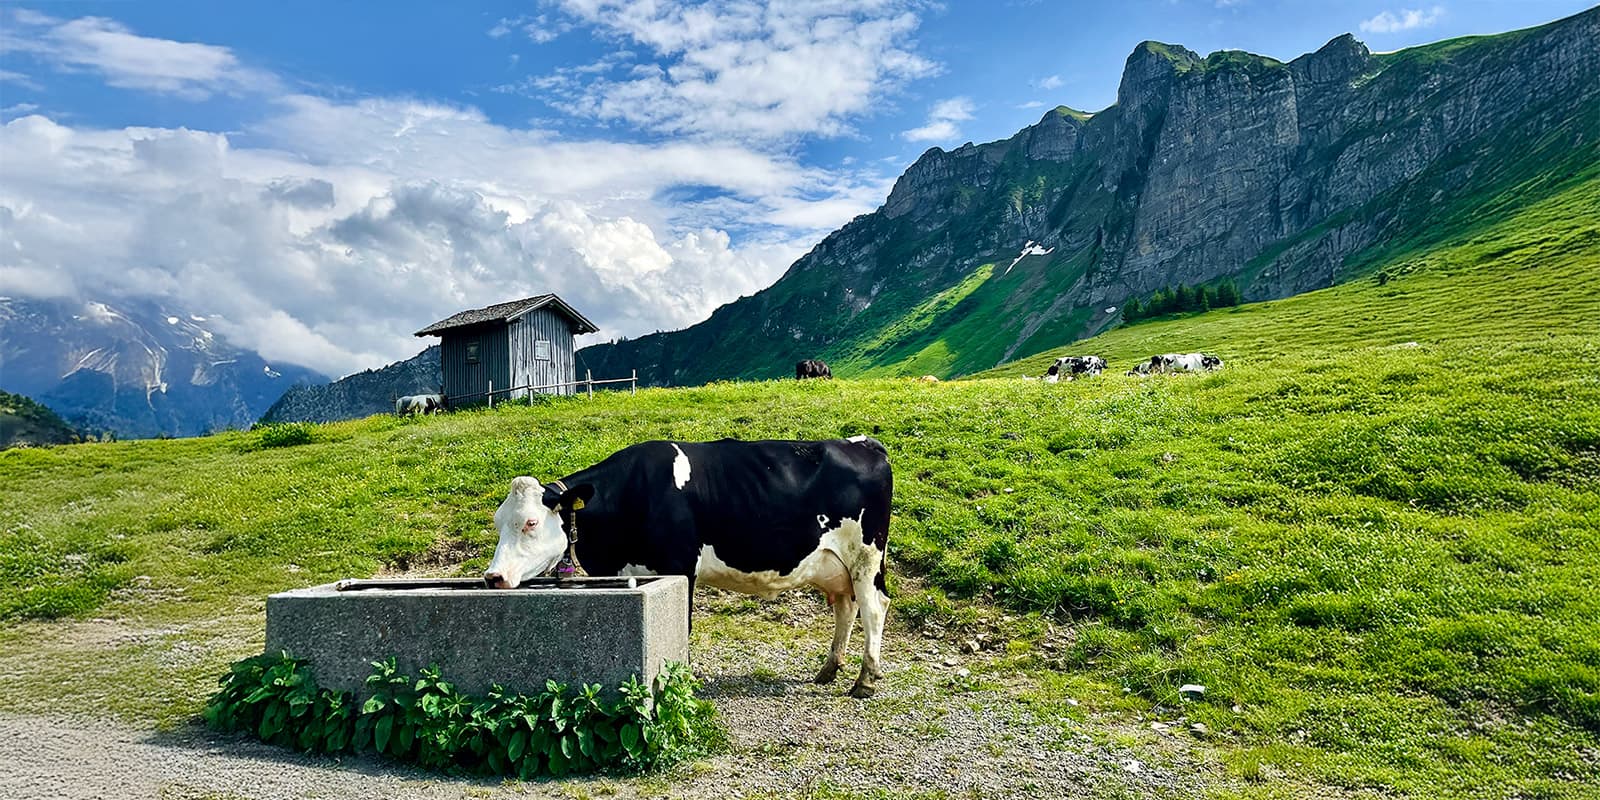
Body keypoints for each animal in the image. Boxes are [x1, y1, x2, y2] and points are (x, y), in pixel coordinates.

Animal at [480, 435, 896, 697]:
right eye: (499, 522)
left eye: (530, 522)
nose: (493, 576)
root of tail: (863, 444)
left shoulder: (681, 566)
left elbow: (684, 624)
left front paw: (683, 680)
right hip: (836, 565)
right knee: (846, 608)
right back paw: (829, 670)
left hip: (866, 556)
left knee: (874, 608)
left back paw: (864, 682)